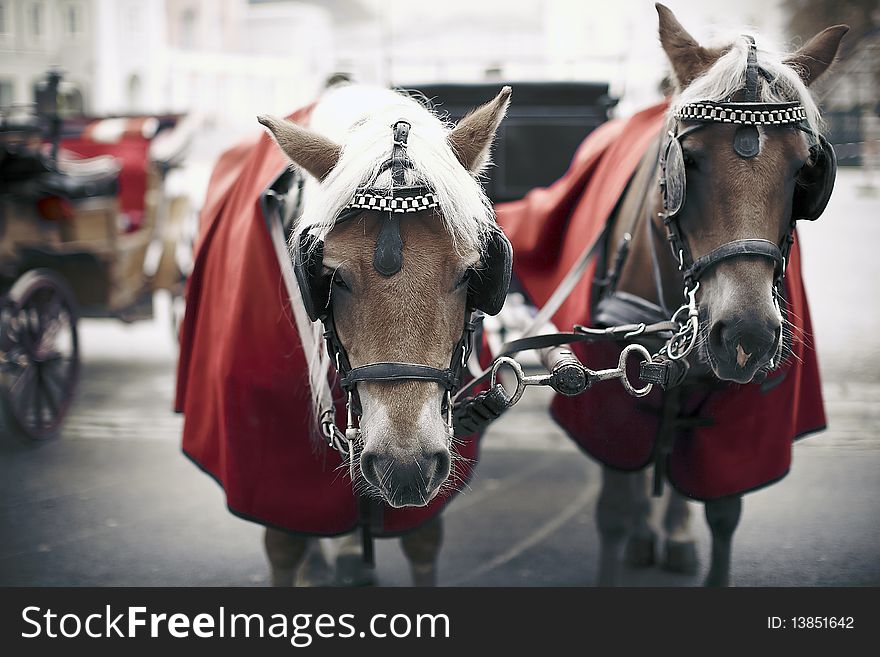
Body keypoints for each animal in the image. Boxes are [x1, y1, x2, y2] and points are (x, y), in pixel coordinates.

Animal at [177, 80, 508, 584]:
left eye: (470, 272)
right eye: (332, 277)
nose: (405, 466)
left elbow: (423, 543)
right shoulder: (273, 473)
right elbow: (285, 547)